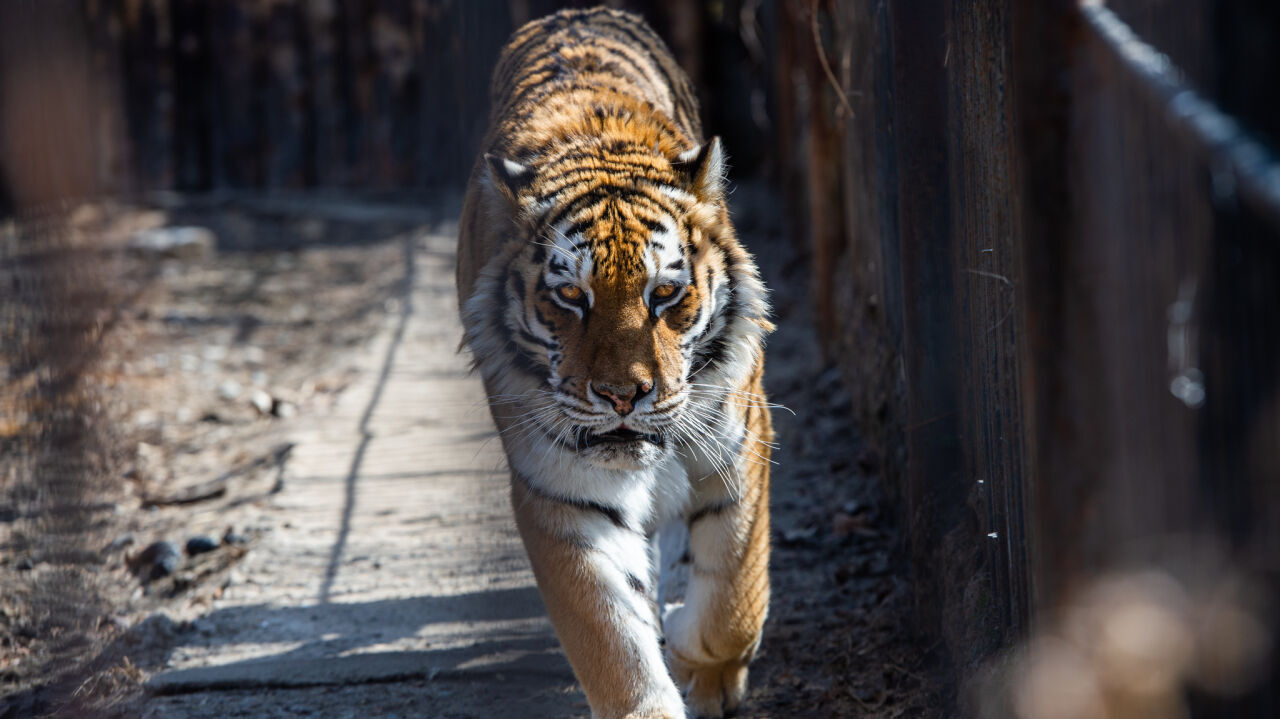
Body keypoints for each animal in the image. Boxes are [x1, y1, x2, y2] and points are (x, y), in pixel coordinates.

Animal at [460, 6, 773, 716]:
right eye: (571, 297)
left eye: (665, 294)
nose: (622, 396)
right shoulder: (562, 491)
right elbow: (609, 636)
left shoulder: (740, 444)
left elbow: (735, 594)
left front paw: (706, 666)